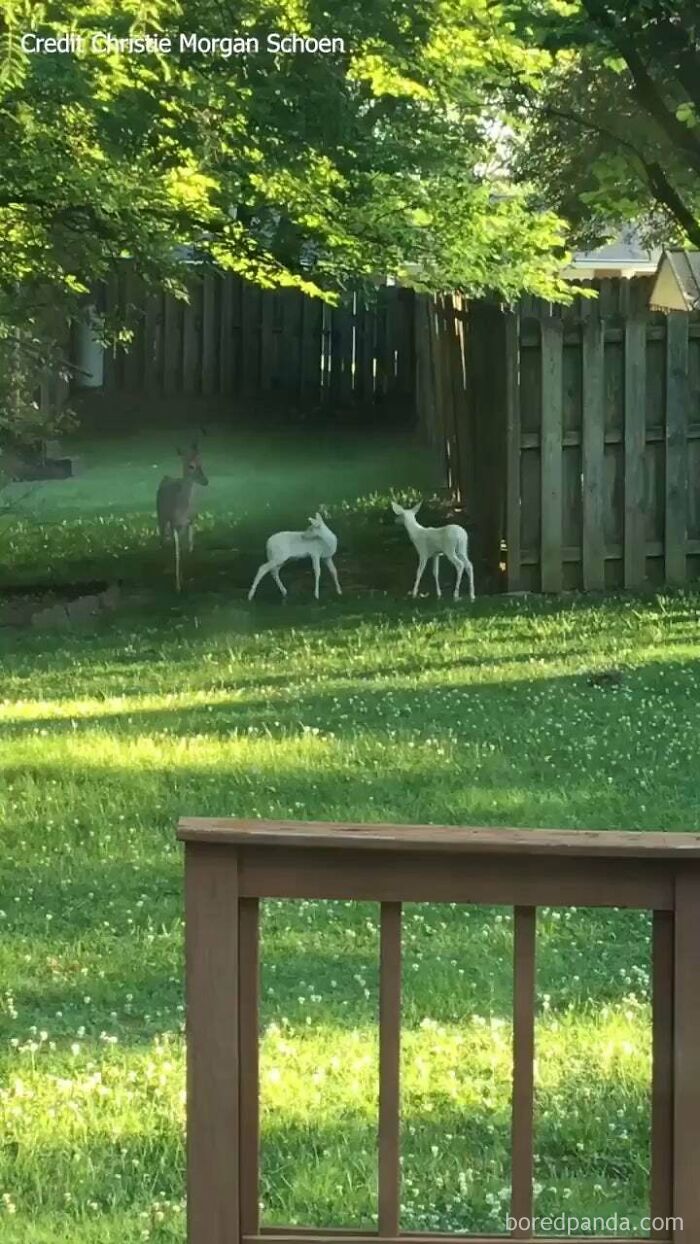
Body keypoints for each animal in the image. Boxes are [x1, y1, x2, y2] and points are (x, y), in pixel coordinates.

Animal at [156, 443, 209, 592]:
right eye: (191, 466)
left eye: (201, 463)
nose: (205, 481)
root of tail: (166, 478)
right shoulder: (174, 524)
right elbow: (177, 553)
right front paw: (177, 586)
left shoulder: (190, 522)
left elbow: (189, 548)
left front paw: (187, 580)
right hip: (161, 517)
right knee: (162, 541)